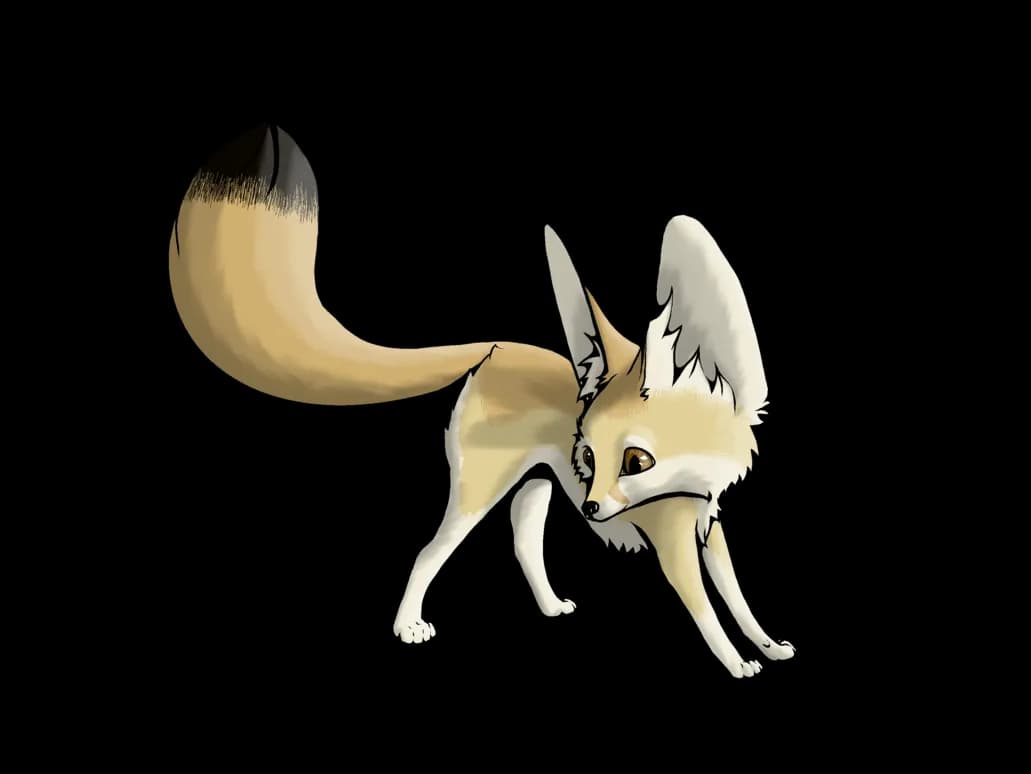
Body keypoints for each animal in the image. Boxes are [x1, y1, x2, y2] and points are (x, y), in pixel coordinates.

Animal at [168, 124, 795, 678]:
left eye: (635, 461)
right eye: (590, 458)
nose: (594, 509)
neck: (692, 491)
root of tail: (494, 348)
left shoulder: (709, 532)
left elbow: (740, 603)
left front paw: (769, 645)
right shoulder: (674, 548)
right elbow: (709, 615)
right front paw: (738, 664)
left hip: (534, 486)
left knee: (522, 544)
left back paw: (550, 607)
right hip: (478, 493)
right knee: (429, 552)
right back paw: (408, 626)